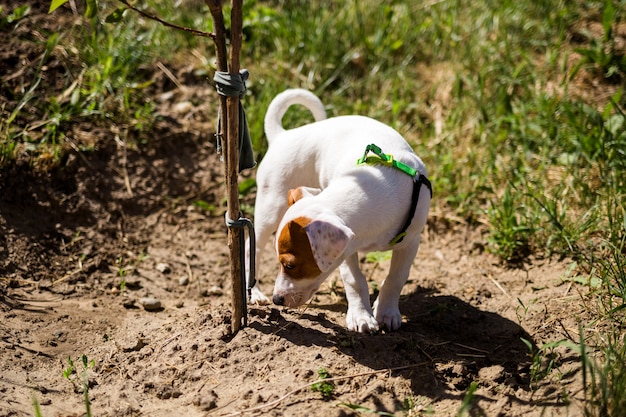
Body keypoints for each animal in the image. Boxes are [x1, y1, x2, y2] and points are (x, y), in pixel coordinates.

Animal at [249, 88, 428, 332]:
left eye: (290, 265)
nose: (277, 299)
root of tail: (282, 136)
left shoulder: (411, 242)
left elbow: (396, 278)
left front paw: (386, 312)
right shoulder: (347, 251)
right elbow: (355, 280)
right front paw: (361, 316)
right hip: (270, 208)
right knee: (252, 248)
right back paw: (255, 293)